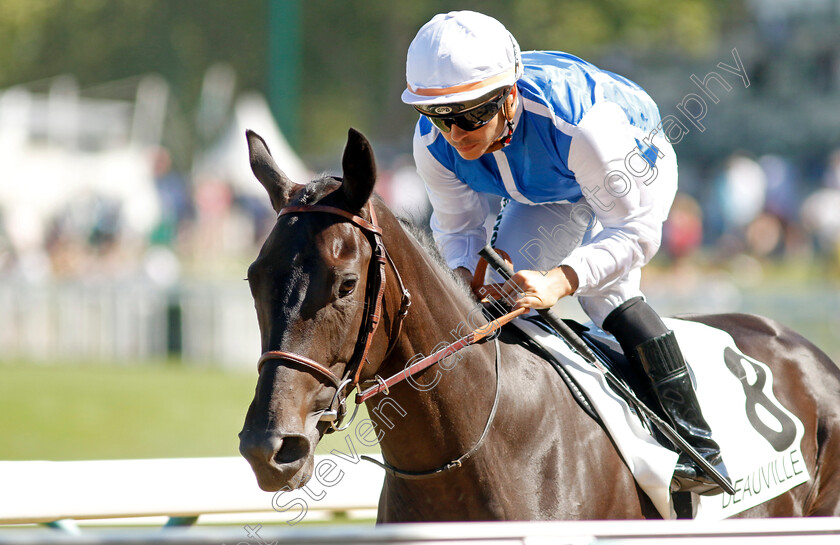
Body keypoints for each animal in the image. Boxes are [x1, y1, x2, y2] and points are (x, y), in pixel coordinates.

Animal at [236, 126, 840, 520]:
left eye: (345, 284)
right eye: (253, 278)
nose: (270, 448)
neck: (480, 448)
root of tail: (808, 352)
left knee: (621, 294)